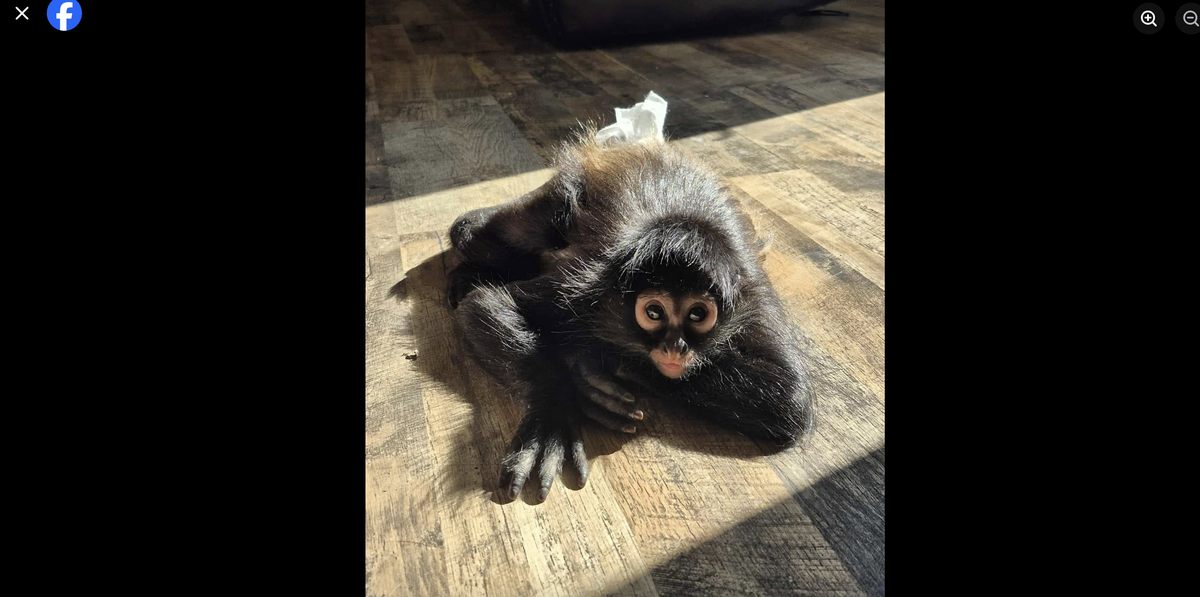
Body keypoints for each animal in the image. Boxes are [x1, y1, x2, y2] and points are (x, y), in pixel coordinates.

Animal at [446, 129, 814, 503]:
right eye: (653, 312)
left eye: (698, 315)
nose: (675, 349)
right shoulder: (585, 287)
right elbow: (484, 304)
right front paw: (553, 407)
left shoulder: (751, 291)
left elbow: (790, 401)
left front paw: (595, 365)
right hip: (559, 200)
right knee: (468, 230)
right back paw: (469, 274)